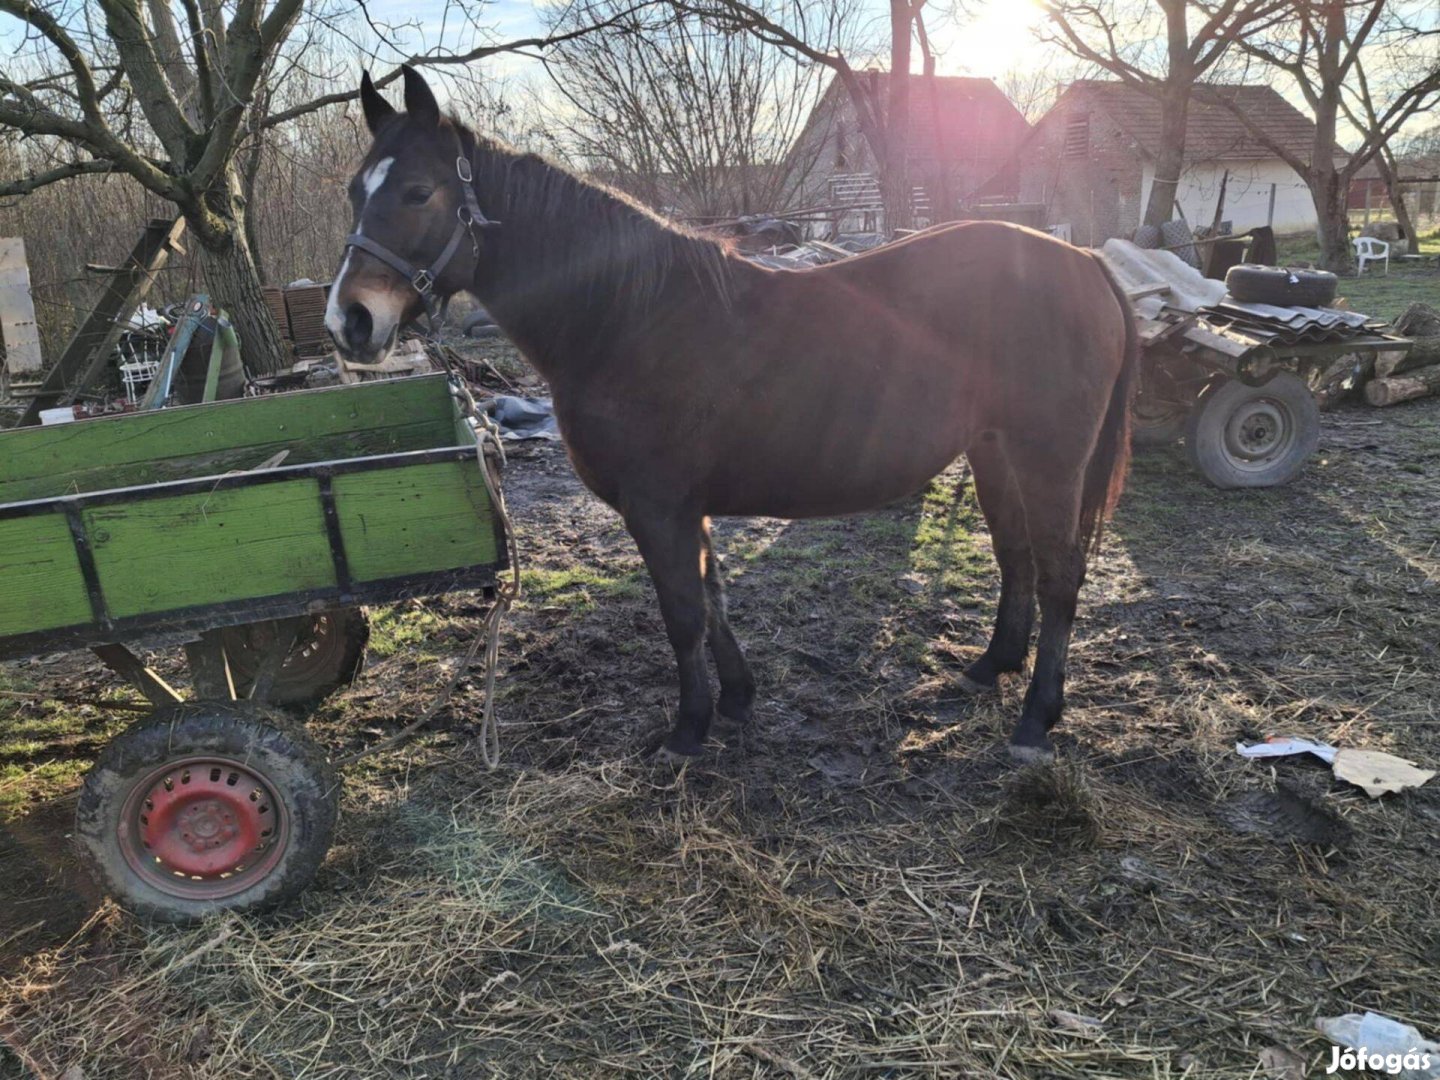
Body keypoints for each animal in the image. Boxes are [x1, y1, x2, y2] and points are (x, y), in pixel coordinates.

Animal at [326, 65, 1134, 760]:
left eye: (419, 192)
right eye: (354, 193)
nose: (350, 322)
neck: (627, 320)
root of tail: (1086, 262)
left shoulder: (656, 507)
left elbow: (683, 614)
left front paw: (688, 728)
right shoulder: (687, 506)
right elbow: (712, 598)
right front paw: (739, 699)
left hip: (1049, 458)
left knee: (1061, 572)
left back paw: (1036, 717)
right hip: (996, 452)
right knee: (1016, 556)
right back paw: (991, 665)